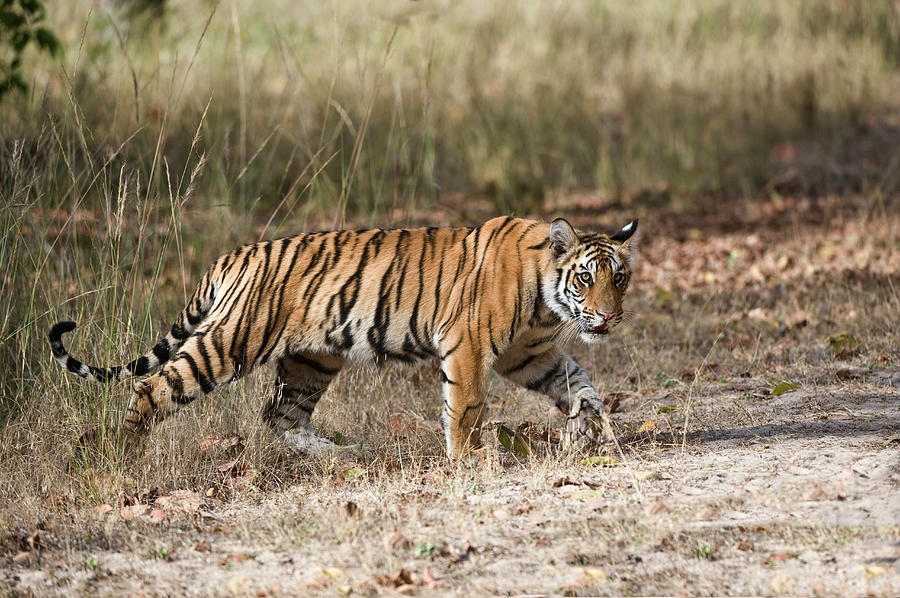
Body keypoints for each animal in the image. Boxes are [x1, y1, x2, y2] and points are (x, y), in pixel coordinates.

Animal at [49, 218, 636, 462]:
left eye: (621, 276)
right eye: (587, 277)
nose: (609, 316)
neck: (546, 297)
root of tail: (234, 255)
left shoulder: (528, 355)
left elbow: (581, 383)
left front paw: (592, 433)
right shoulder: (469, 348)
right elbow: (466, 406)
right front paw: (469, 460)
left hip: (312, 359)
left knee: (280, 415)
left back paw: (340, 455)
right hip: (230, 345)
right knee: (151, 388)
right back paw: (124, 455)